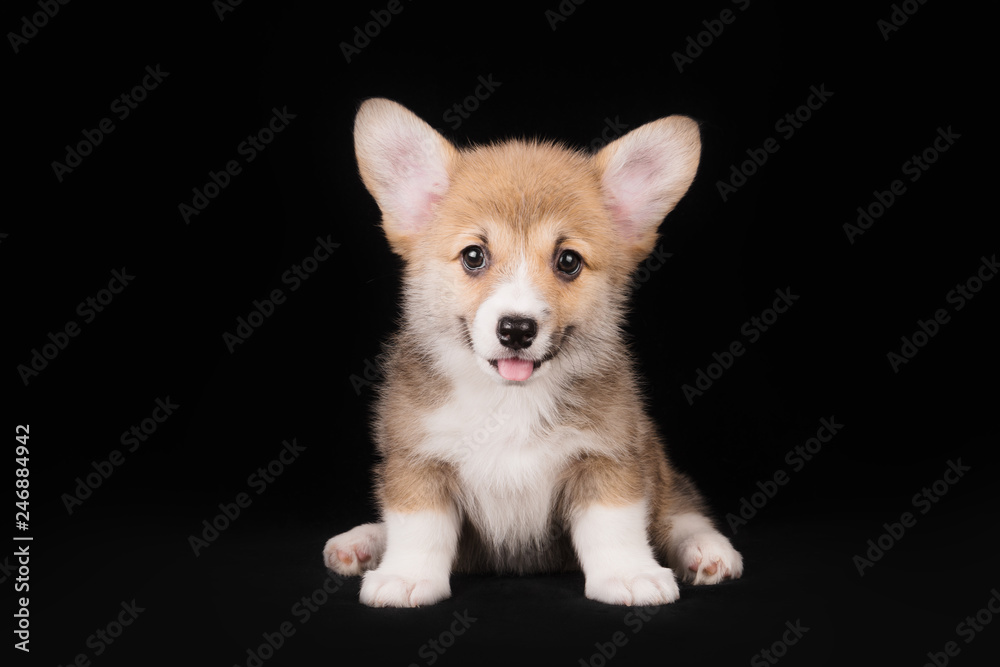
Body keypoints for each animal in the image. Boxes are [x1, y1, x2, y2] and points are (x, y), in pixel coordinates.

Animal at [322, 100, 744, 612]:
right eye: (474, 256)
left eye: (568, 261)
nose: (517, 329)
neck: (509, 400)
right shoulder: (418, 460)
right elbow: (417, 527)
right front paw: (405, 576)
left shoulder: (608, 458)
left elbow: (615, 526)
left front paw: (628, 575)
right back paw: (361, 542)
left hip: (658, 467)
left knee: (678, 510)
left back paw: (707, 549)